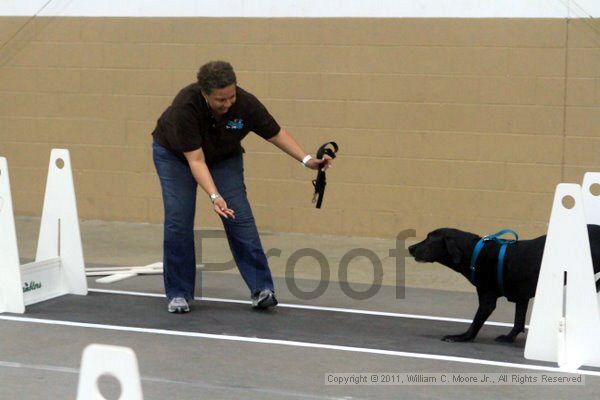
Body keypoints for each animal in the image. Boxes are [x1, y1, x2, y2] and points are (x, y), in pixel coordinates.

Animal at [408, 227, 600, 342]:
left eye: (429, 239)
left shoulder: (487, 299)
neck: (476, 252)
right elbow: (518, 321)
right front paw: (509, 338)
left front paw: (462, 337)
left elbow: (475, 322)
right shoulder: (522, 297)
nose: (410, 248)